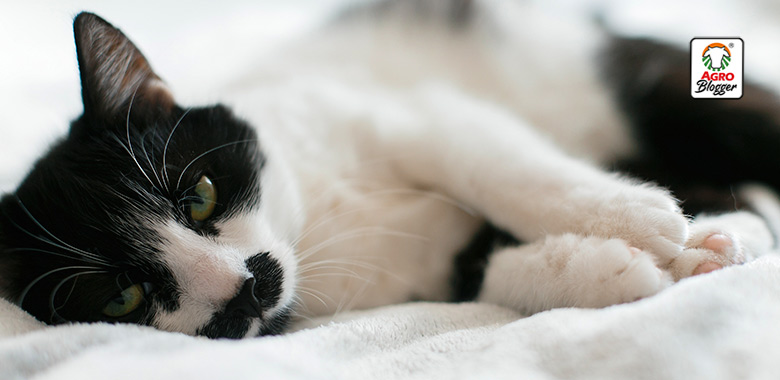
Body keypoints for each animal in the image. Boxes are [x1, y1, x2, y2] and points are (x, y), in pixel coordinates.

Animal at [1, 0, 780, 338]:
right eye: (122, 298)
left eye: (199, 195)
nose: (244, 289)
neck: (312, 225)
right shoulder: (429, 271)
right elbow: (486, 269)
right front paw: (625, 269)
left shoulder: (410, 114)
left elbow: (493, 165)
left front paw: (636, 219)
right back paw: (721, 235)